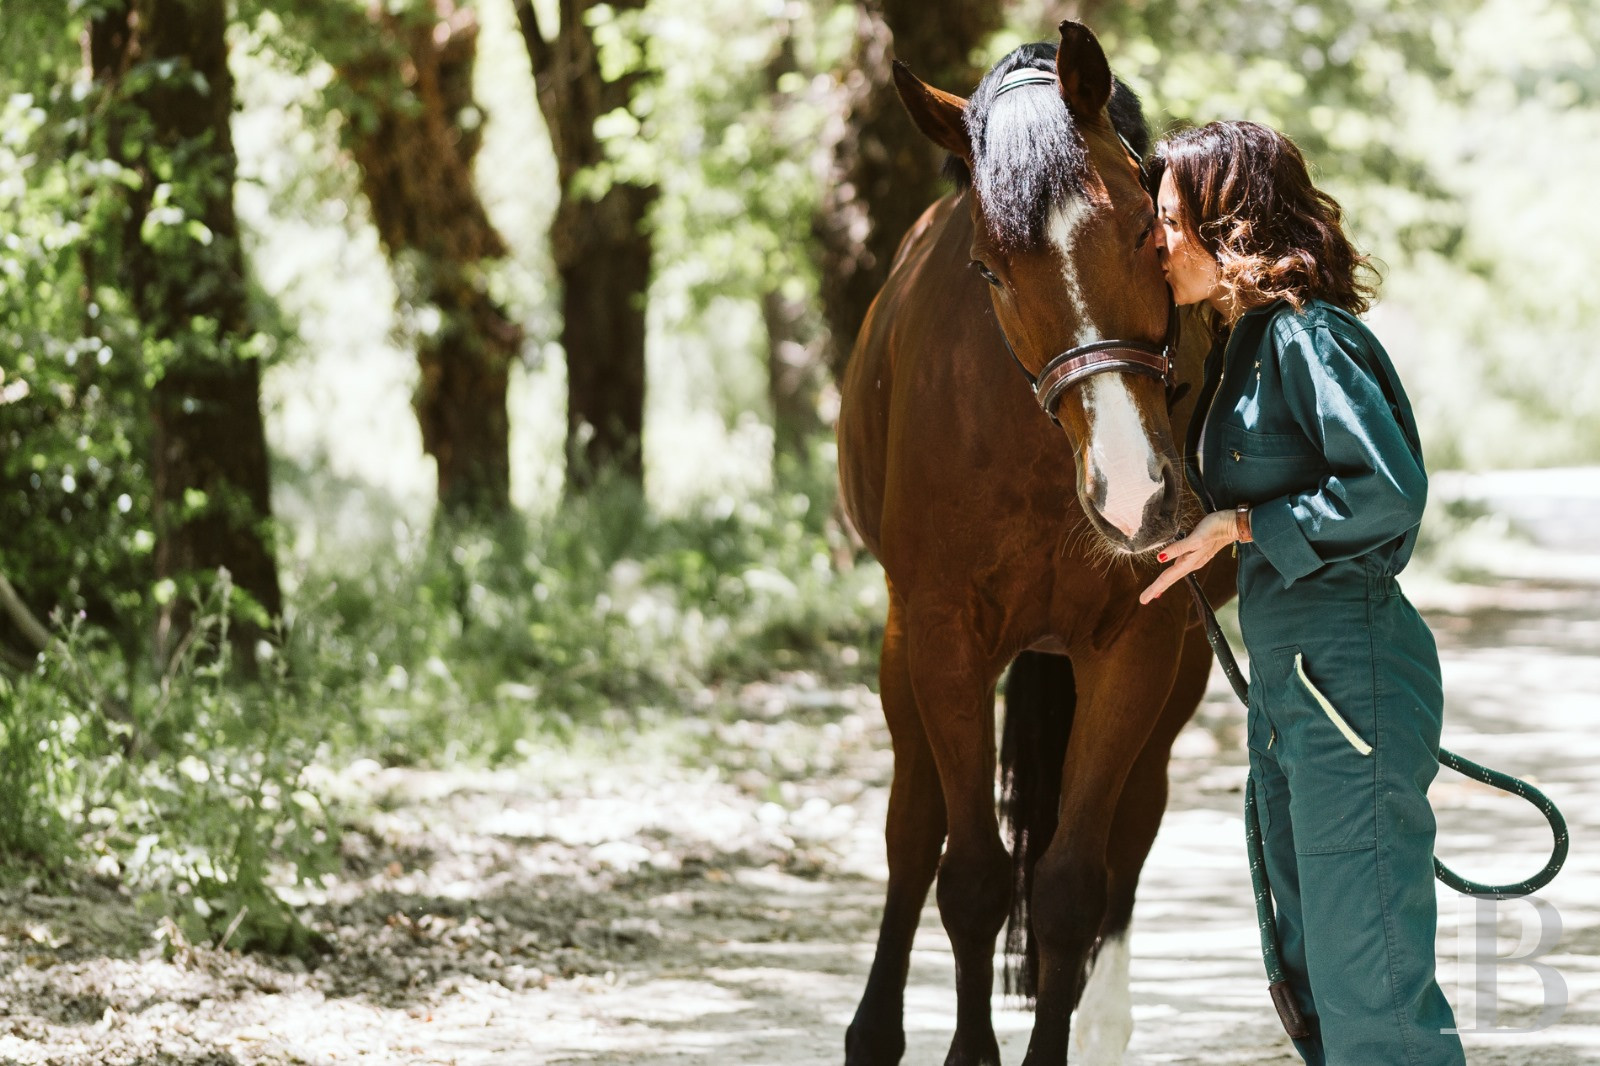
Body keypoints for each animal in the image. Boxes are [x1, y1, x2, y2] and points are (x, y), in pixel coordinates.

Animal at [836, 22, 1235, 1066]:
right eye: (988, 270)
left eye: (1145, 228)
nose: (1134, 494)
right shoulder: (944, 634)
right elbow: (970, 874)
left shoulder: (1138, 643)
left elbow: (1066, 889)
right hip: (903, 646)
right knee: (912, 828)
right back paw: (874, 1029)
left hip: (1179, 666)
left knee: (1130, 830)